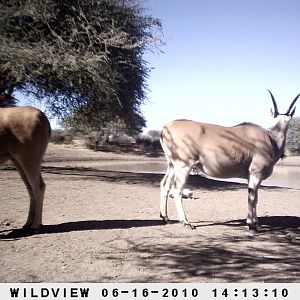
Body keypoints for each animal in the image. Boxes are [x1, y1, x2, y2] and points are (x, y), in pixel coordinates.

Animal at [159, 91, 298, 230]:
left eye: (288, 120)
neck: (271, 138)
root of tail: (165, 128)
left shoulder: (251, 176)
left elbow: (256, 197)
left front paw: (256, 222)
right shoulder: (256, 173)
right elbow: (252, 197)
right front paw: (251, 224)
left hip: (172, 165)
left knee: (165, 184)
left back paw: (165, 217)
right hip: (184, 165)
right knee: (177, 189)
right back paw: (186, 222)